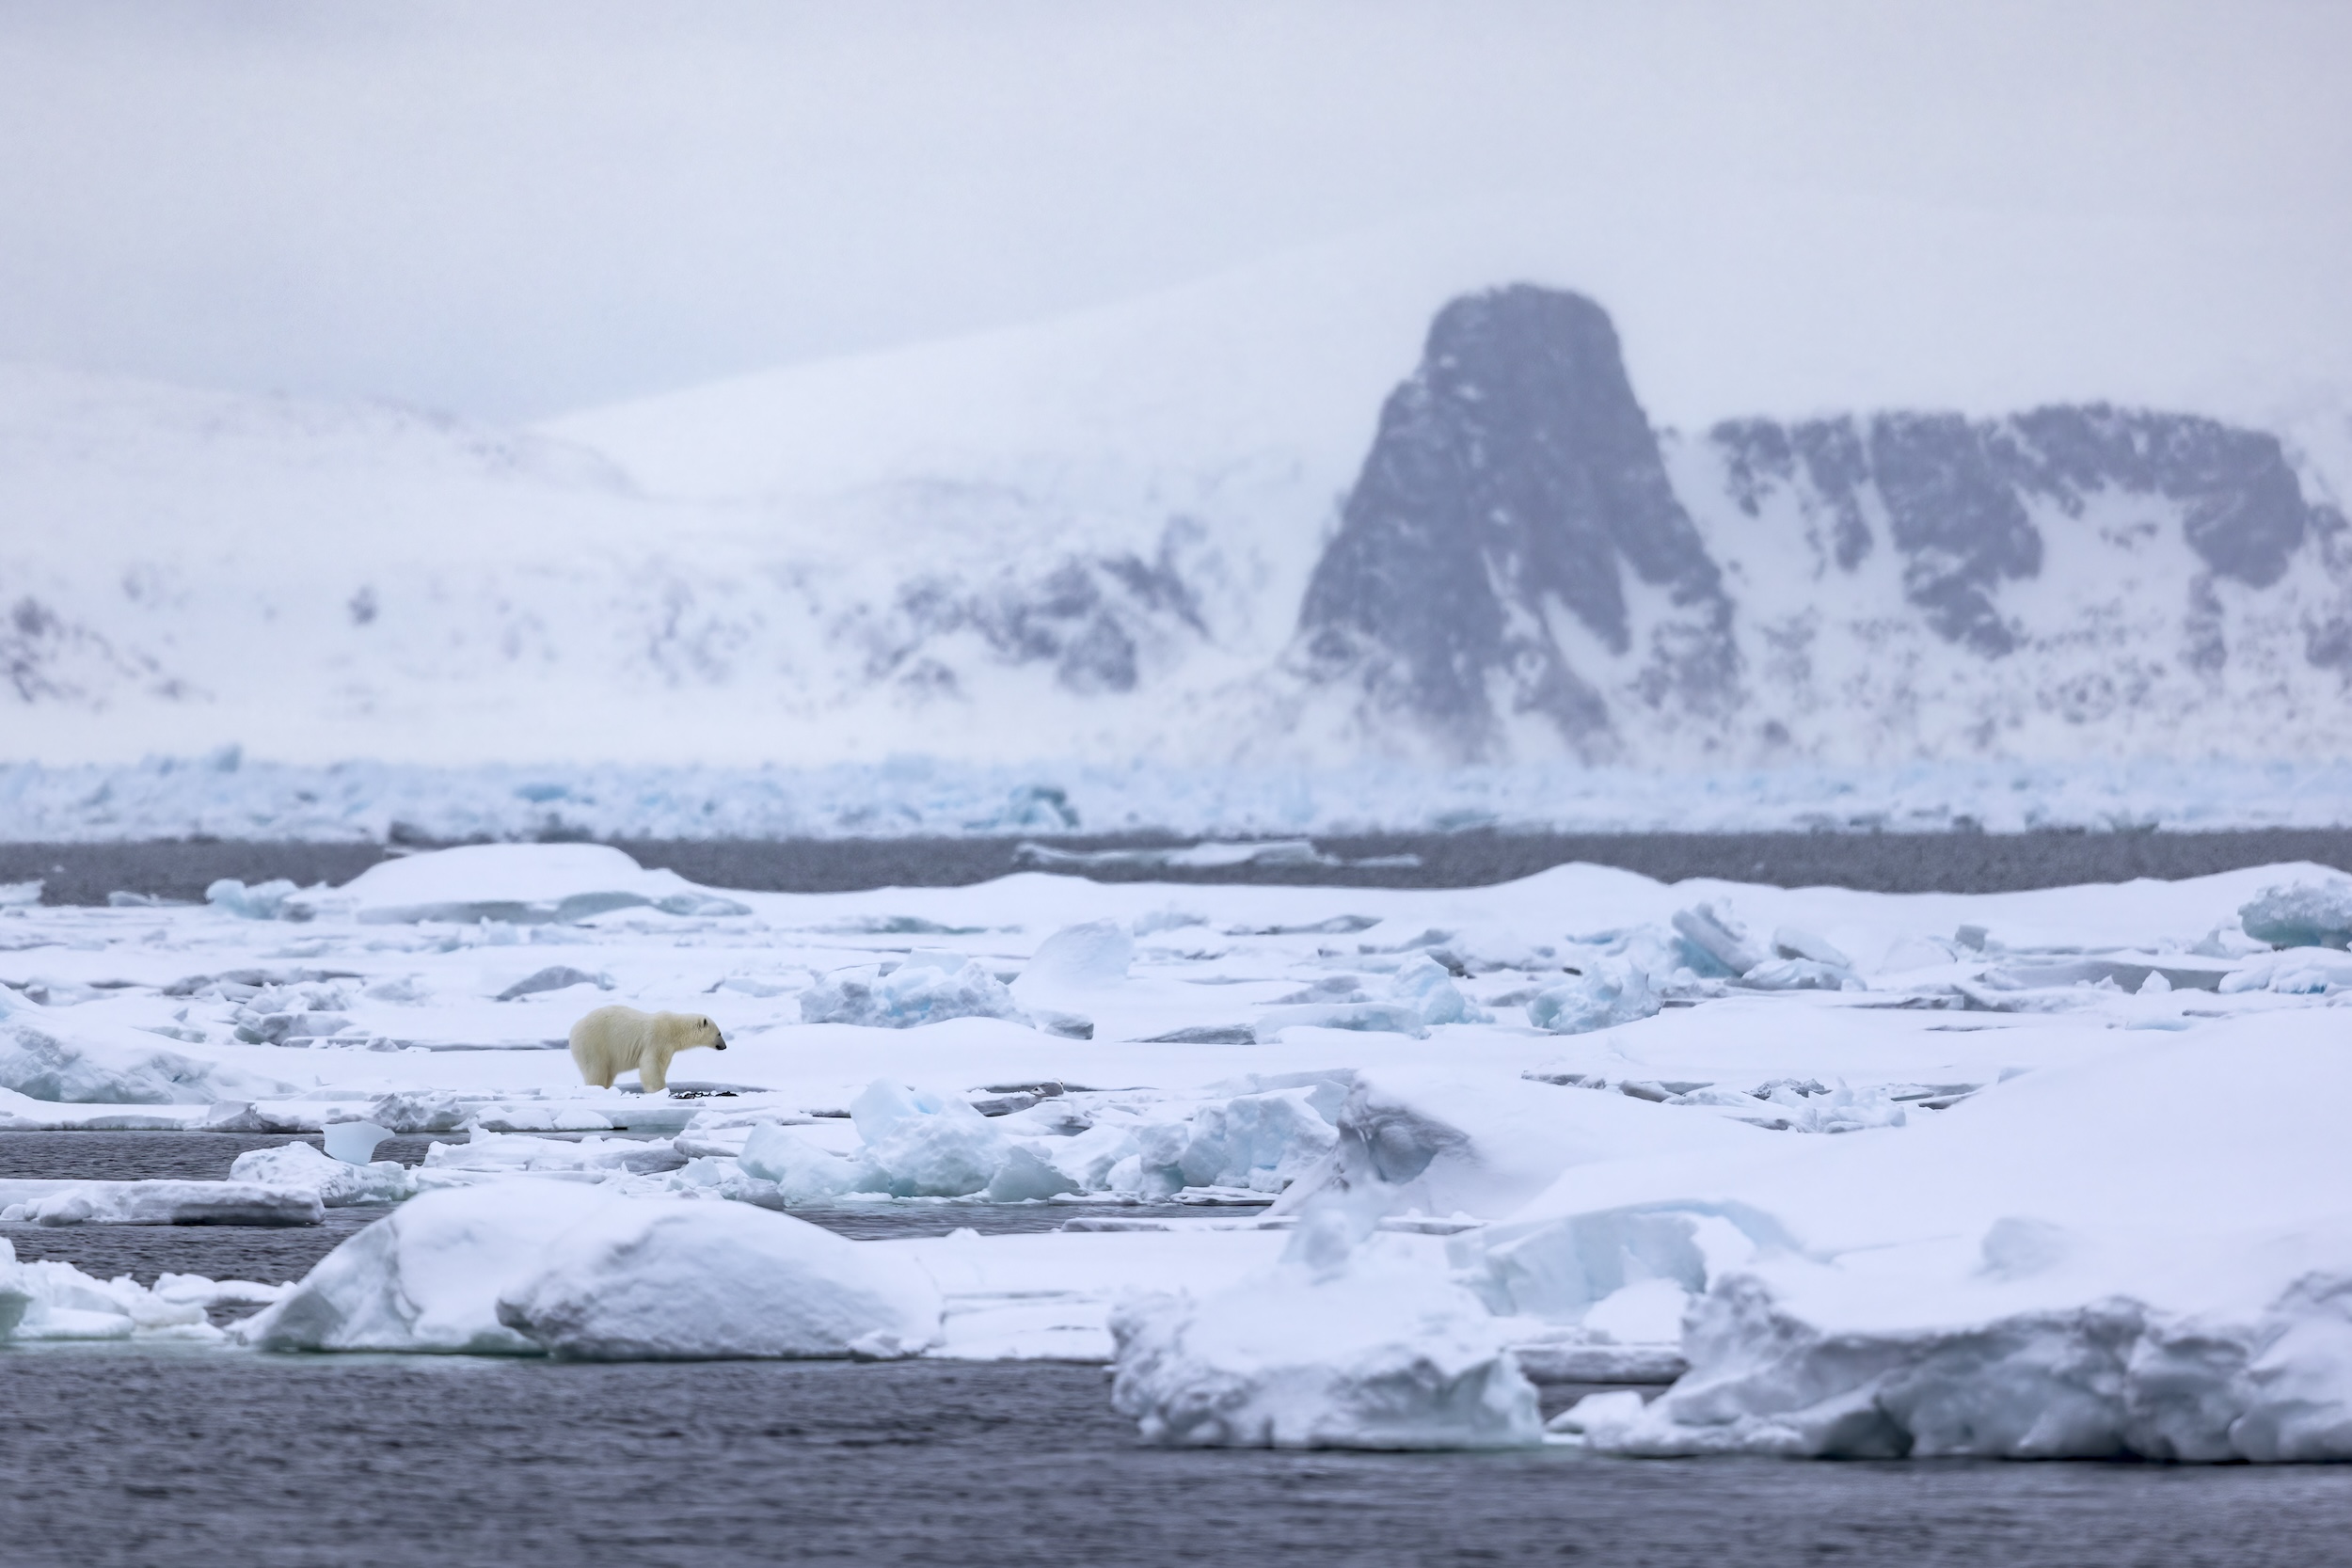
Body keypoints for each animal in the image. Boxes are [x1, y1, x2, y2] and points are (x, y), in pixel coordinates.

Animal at [568, 1005, 727, 1094]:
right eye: (719, 1033)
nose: (724, 1046)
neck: (674, 1029)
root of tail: (574, 1029)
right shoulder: (657, 1039)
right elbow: (651, 1065)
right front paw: (659, 1089)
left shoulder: (668, 1047)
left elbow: (662, 1065)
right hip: (594, 1044)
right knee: (596, 1069)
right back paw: (596, 1088)